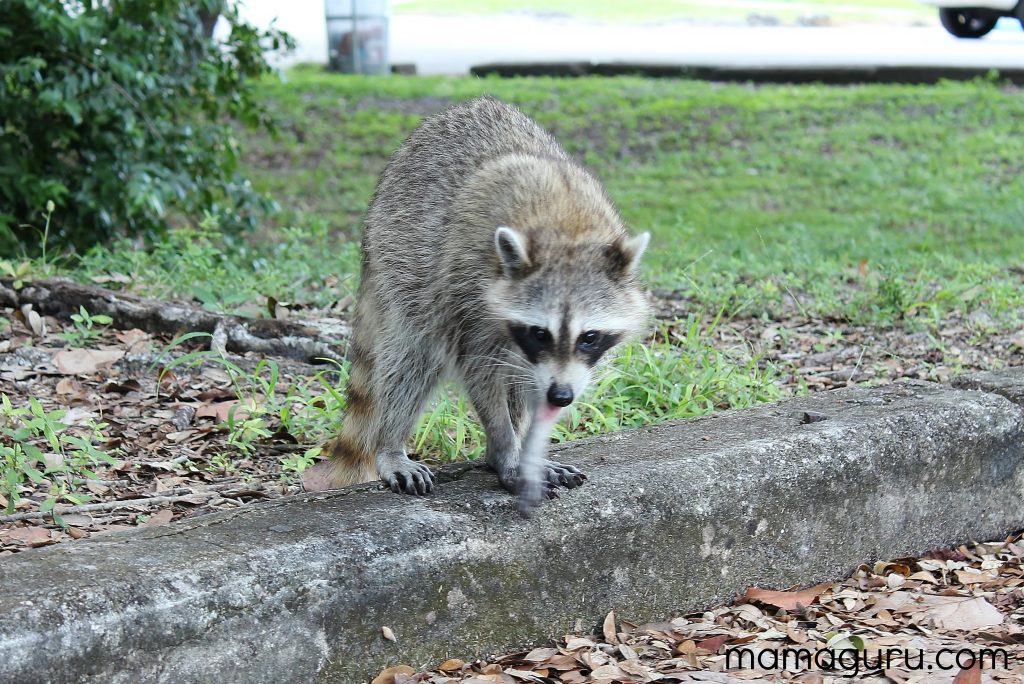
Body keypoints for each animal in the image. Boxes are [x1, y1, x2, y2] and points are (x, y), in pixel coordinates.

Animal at [301, 94, 647, 511]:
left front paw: (527, 448)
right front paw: (507, 451)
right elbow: (479, 367)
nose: (561, 396)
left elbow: (531, 385)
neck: (568, 228)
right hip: (400, 264)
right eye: (540, 333)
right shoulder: (470, 288)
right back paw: (391, 443)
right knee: (411, 358)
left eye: (589, 337)